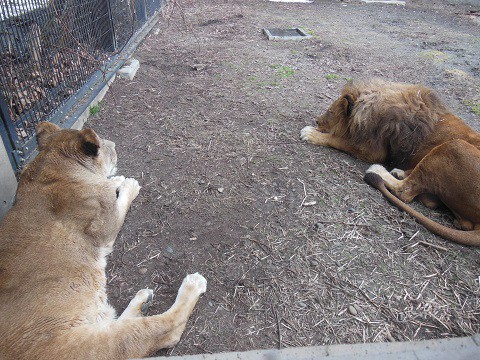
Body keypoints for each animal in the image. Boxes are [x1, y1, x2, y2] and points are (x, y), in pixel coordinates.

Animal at [0, 122, 206, 358]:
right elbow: (121, 202)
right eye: (107, 146)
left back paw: (142, 301)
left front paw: (116, 179)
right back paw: (192, 285)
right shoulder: (107, 226)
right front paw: (127, 185)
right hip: (91, 344)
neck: (54, 165)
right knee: (165, 329)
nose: (115, 145)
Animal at [302, 79, 480, 248]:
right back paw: (400, 172)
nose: (317, 120)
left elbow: (337, 140)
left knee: (405, 192)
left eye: (330, 112)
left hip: (456, 146)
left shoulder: (372, 150)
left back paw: (379, 171)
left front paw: (310, 133)